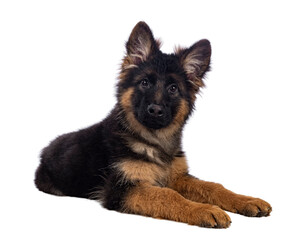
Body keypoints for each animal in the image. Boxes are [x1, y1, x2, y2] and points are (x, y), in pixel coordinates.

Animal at [35, 21, 272, 228]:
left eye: (173, 88)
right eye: (145, 83)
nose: (155, 111)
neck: (153, 141)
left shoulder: (176, 176)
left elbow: (212, 186)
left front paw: (245, 200)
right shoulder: (122, 188)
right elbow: (168, 196)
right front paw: (204, 209)